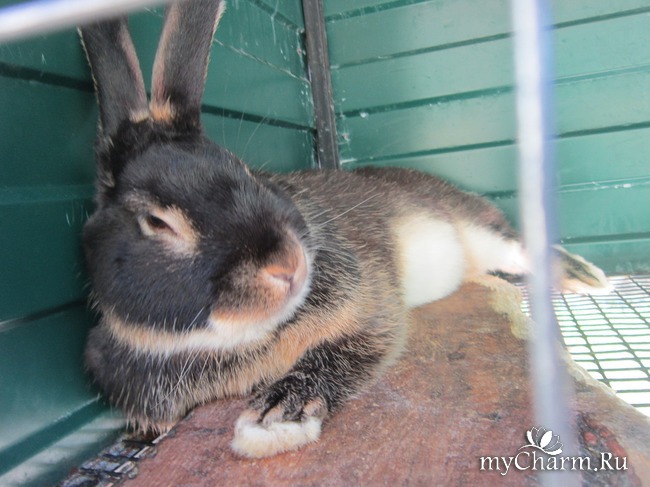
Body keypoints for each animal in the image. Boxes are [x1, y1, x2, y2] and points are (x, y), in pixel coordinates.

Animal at [79, 0, 610, 459]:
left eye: (245, 170)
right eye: (156, 222)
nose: (289, 265)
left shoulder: (370, 306)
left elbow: (345, 352)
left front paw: (274, 419)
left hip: (479, 230)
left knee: (523, 247)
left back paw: (586, 279)